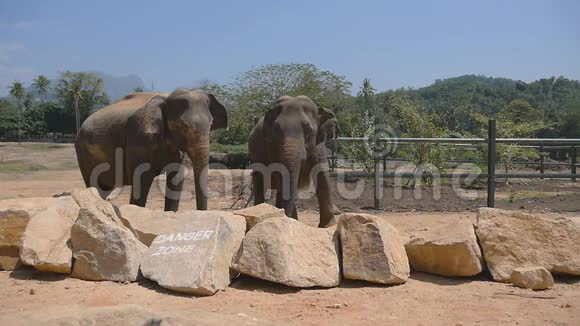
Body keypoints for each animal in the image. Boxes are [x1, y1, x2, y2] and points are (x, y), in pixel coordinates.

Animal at [73, 89, 227, 211]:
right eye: (182, 126)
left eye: (211, 124)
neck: (166, 97)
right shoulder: (138, 138)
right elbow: (141, 179)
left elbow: (176, 178)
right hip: (83, 153)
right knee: (95, 185)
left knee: (104, 189)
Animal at [248, 94, 338, 227]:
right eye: (276, 128)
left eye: (308, 127)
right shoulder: (272, 147)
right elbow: (282, 177)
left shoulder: (318, 145)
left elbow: (322, 175)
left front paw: (328, 226)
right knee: (259, 179)